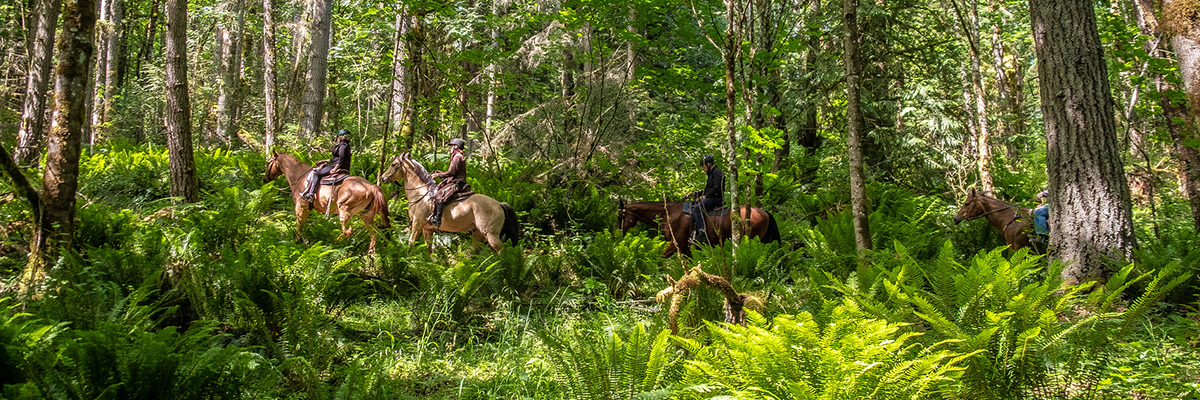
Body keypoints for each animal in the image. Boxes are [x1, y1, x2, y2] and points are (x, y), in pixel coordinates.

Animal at [379, 151, 520, 251]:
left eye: (393, 164)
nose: (382, 178)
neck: (421, 194)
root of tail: (500, 204)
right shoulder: (427, 229)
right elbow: (429, 250)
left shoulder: (417, 223)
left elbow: (411, 242)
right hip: (477, 234)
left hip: (491, 235)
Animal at [614, 198, 782, 257]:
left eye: (620, 217)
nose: (616, 233)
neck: (669, 214)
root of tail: (764, 212)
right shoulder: (685, 249)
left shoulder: (676, 244)